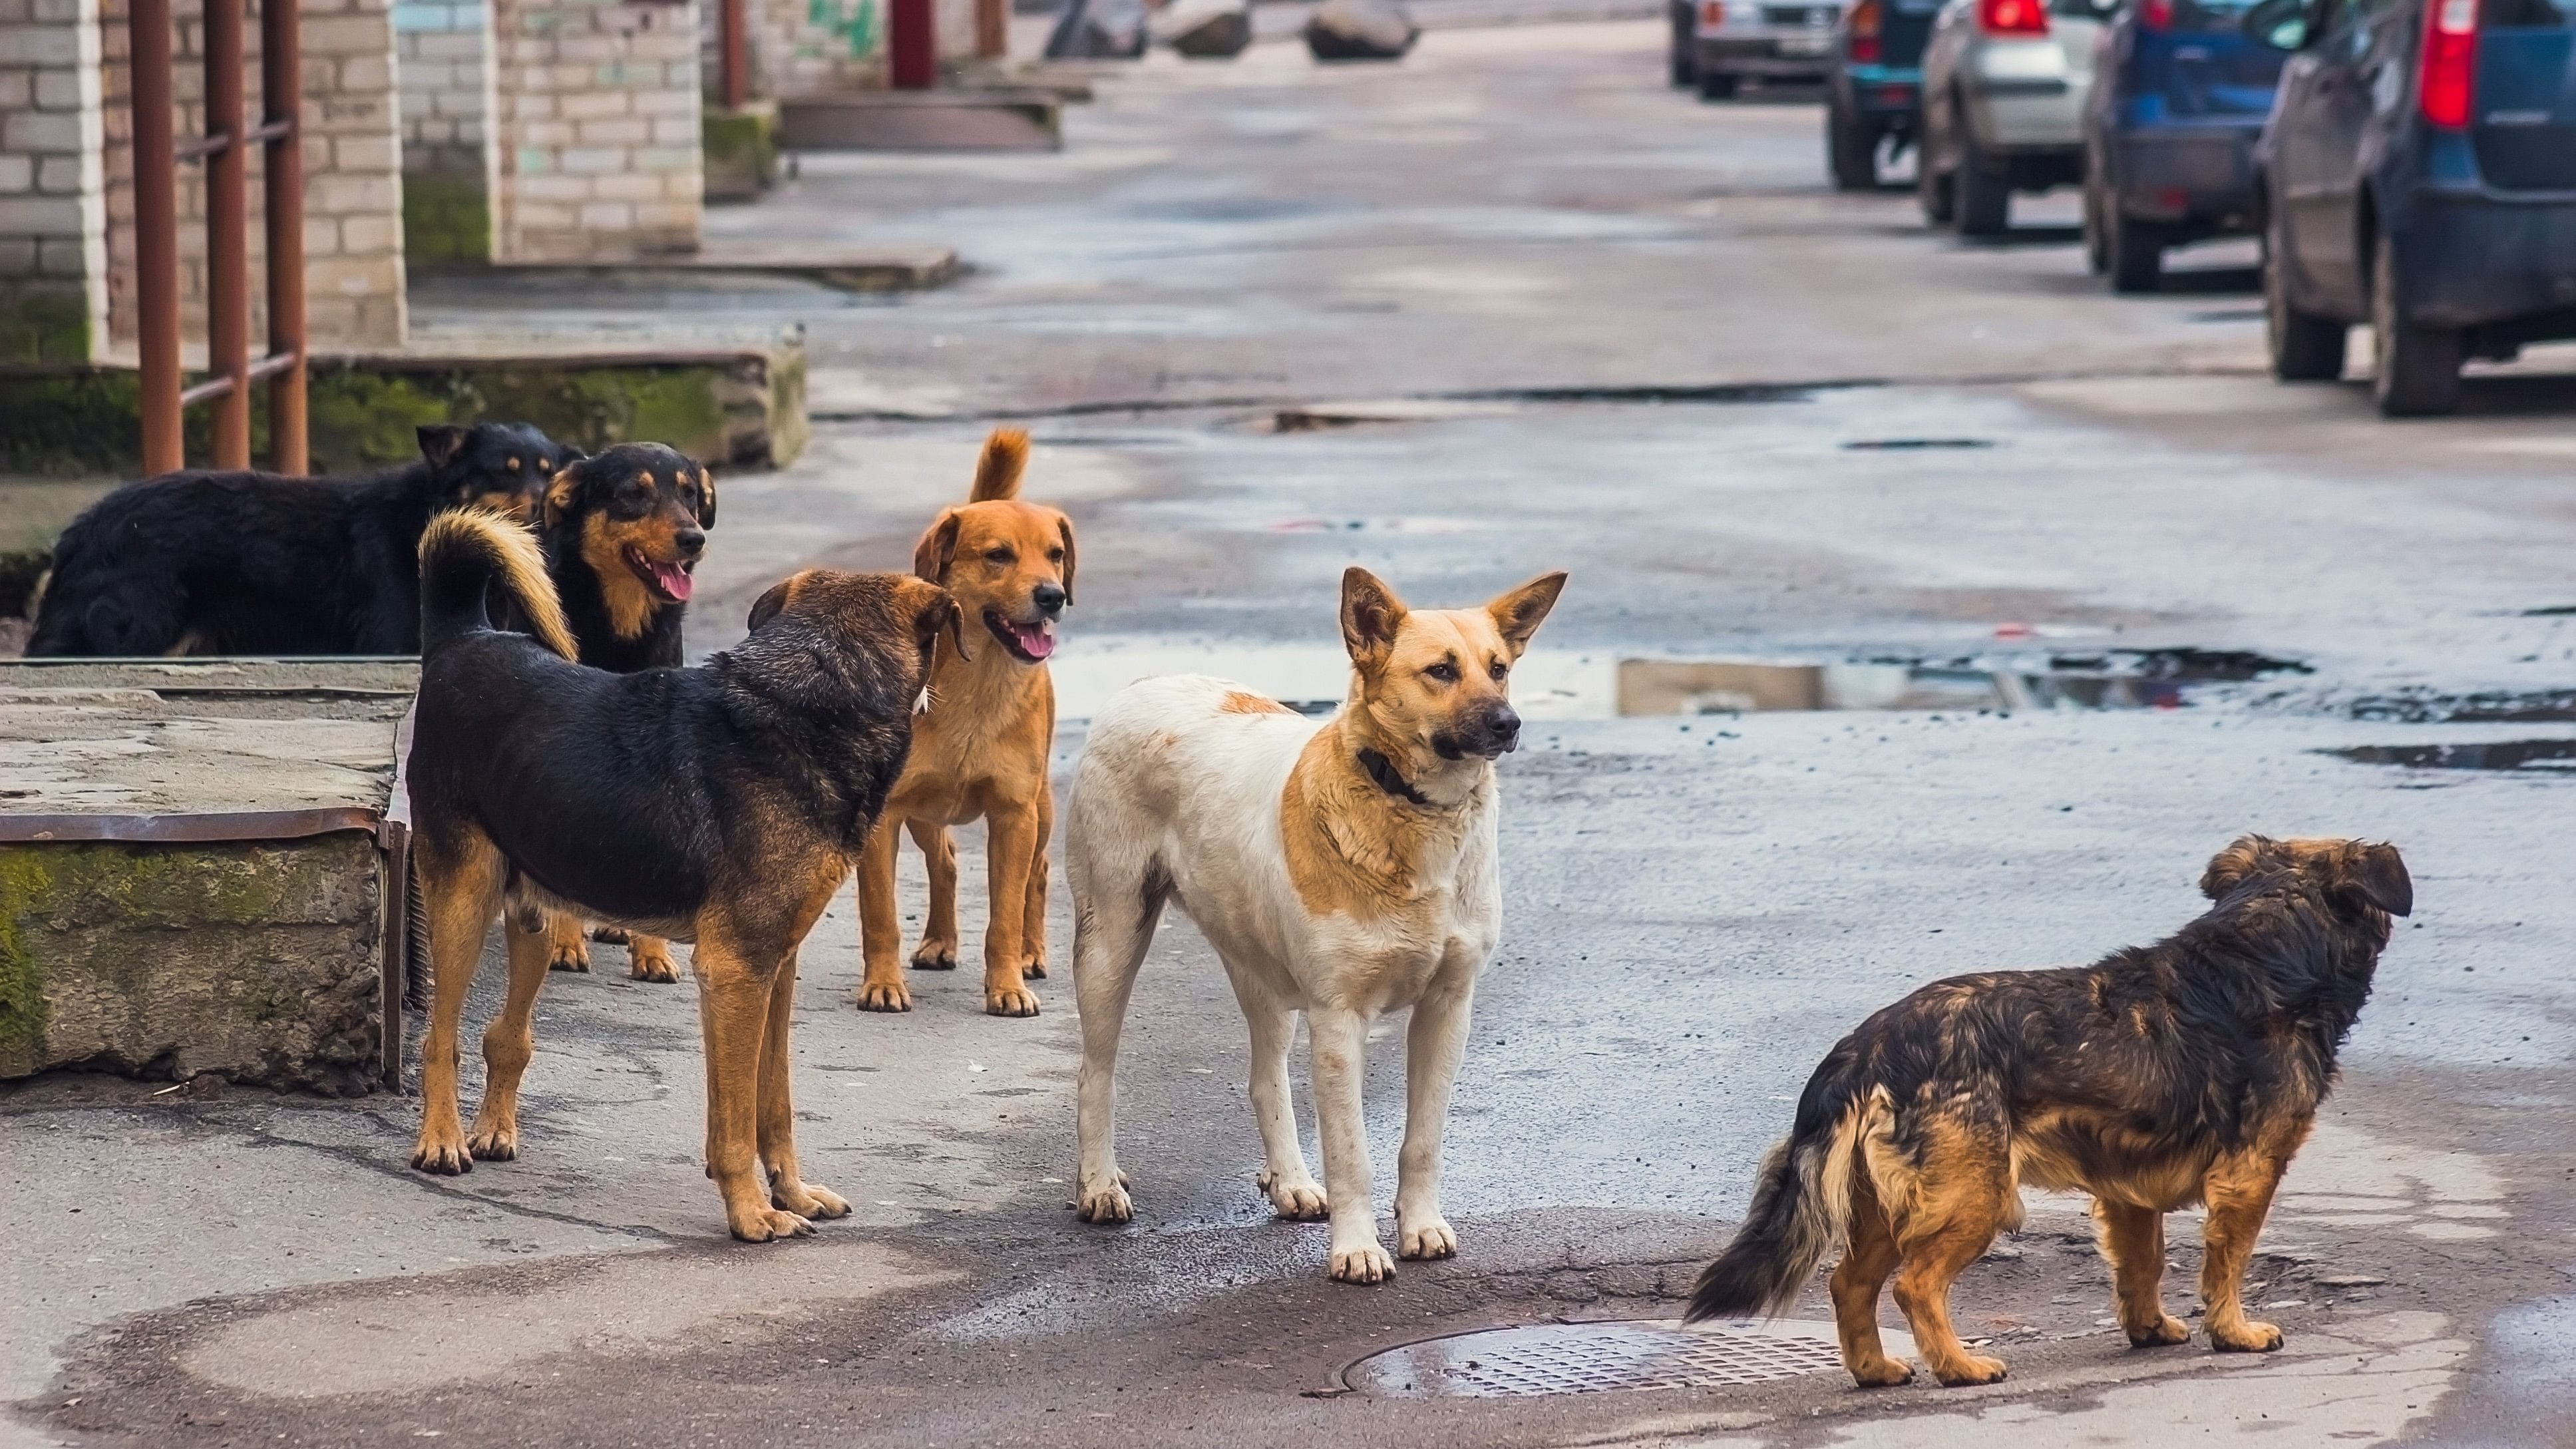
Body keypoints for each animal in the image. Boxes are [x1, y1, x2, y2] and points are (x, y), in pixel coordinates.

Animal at [30, 420, 577, 652]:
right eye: (503, 471)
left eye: (547, 472)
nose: (540, 506)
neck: (424, 515)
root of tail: (82, 530)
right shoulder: (392, 639)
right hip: (137, 630)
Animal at [401, 503, 968, 1237]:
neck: (814, 695)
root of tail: (463, 638)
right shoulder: (735, 971)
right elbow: (735, 1120)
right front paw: (751, 1212)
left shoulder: (775, 967)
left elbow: (773, 1103)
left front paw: (792, 1191)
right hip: (463, 900)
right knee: (440, 1037)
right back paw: (441, 1139)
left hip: (533, 912)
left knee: (507, 1034)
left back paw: (493, 1128)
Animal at [515, 441, 716, 979]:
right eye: (633, 494)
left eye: (690, 495)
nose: (694, 539)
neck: (620, 626)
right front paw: (565, 944)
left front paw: (652, 952)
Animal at [860, 428, 1071, 1010]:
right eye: (998, 555)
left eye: (1055, 555)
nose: (1053, 596)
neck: (978, 685)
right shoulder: (884, 817)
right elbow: (881, 914)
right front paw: (882, 983)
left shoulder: (1014, 816)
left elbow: (1004, 915)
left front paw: (1007, 986)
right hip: (922, 813)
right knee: (946, 861)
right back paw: (939, 941)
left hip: (1041, 808)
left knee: (1038, 874)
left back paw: (1031, 953)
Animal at [1690, 835, 2411, 1392]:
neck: (2267, 946)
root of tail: (1865, 1047)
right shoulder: (2249, 1174)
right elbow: (2227, 1262)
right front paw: (2233, 1330)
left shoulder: (2128, 1191)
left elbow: (2143, 1264)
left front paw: (2149, 1328)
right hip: (1976, 1195)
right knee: (1913, 1285)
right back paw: (1959, 1366)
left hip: (1887, 1206)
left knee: (1848, 1284)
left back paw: (1875, 1369)